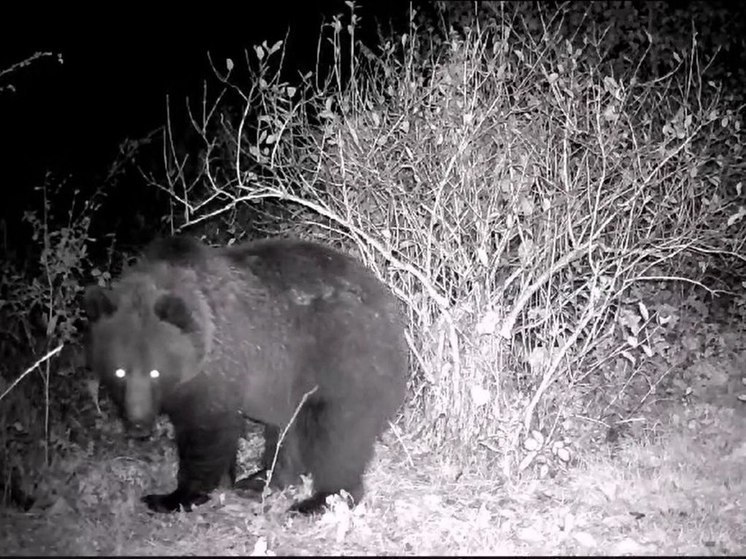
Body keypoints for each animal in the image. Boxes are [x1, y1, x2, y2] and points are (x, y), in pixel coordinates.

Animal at [85, 235, 410, 516]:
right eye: (119, 371)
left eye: (155, 371)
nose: (138, 425)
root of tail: (391, 310)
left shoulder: (221, 364)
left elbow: (207, 430)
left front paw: (173, 496)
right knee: (287, 432)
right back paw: (260, 480)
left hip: (343, 363)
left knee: (336, 435)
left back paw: (319, 499)